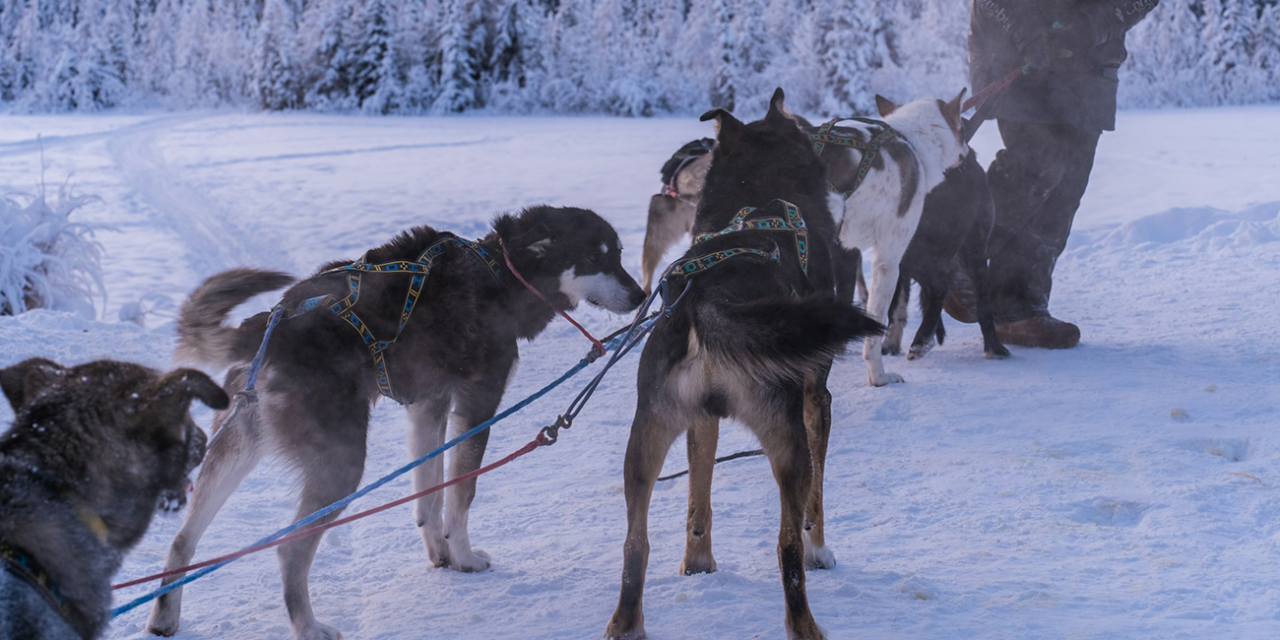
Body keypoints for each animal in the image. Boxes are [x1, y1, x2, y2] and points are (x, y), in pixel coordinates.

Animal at [148, 206, 645, 640]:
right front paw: (464, 556)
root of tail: (276, 322)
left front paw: (441, 554)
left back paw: (164, 616)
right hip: (343, 465)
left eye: (619, 254)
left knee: (181, 540)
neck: (499, 274)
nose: (642, 295)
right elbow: (462, 492)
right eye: (595, 258)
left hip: (236, 448)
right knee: (290, 547)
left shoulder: (428, 406)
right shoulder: (477, 405)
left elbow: (430, 491)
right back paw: (308, 627)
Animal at [606, 88, 885, 640]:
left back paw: (626, 622)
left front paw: (698, 563)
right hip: (788, 442)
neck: (757, 189)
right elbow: (815, 506)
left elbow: (699, 498)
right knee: (787, 548)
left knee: (634, 545)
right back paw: (806, 623)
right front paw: (822, 549)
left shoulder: (701, 420)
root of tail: (705, 300)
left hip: (644, 440)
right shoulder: (815, 401)